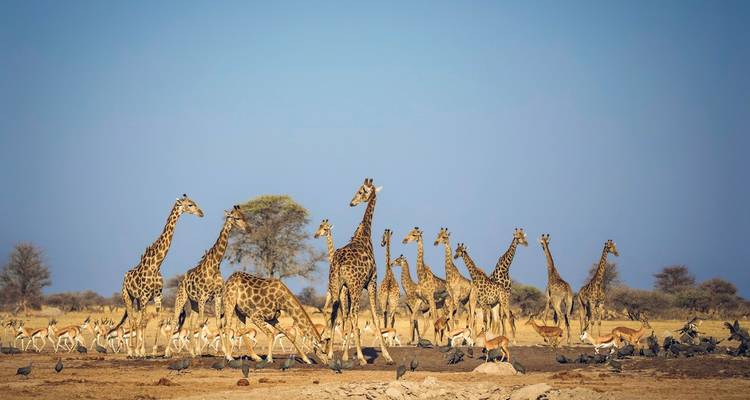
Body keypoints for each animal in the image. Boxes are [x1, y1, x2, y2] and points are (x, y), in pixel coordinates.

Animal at [109, 194, 203, 358]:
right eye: (190, 205)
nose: (201, 213)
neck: (156, 264)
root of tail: (125, 276)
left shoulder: (157, 296)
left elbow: (157, 322)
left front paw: (152, 351)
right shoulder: (145, 296)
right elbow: (143, 322)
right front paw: (141, 352)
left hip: (138, 300)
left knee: (137, 320)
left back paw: (136, 350)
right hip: (128, 296)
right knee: (133, 320)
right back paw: (131, 352)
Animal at [170, 205, 247, 357]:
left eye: (244, 216)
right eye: (236, 218)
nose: (247, 228)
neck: (215, 265)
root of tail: (181, 280)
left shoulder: (217, 295)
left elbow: (218, 323)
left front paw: (226, 353)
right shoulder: (203, 297)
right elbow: (201, 323)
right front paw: (200, 351)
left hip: (193, 303)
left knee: (191, 323)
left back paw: (192, 353)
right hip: (182, 297)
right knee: (176, 319)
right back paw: (167, 352)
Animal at [325, 178, 394, 365]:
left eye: (361, 191)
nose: (351, 203)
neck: (364, 235)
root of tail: (338, 262)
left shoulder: (346, 288)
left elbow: (347, 317)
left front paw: (346, 355)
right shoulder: (372, 282)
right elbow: (375, 316)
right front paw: (387, 356)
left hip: (335, 285)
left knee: (335, 314)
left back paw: (330, 355)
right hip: (355, 288)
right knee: (354, 315)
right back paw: (362, 358)